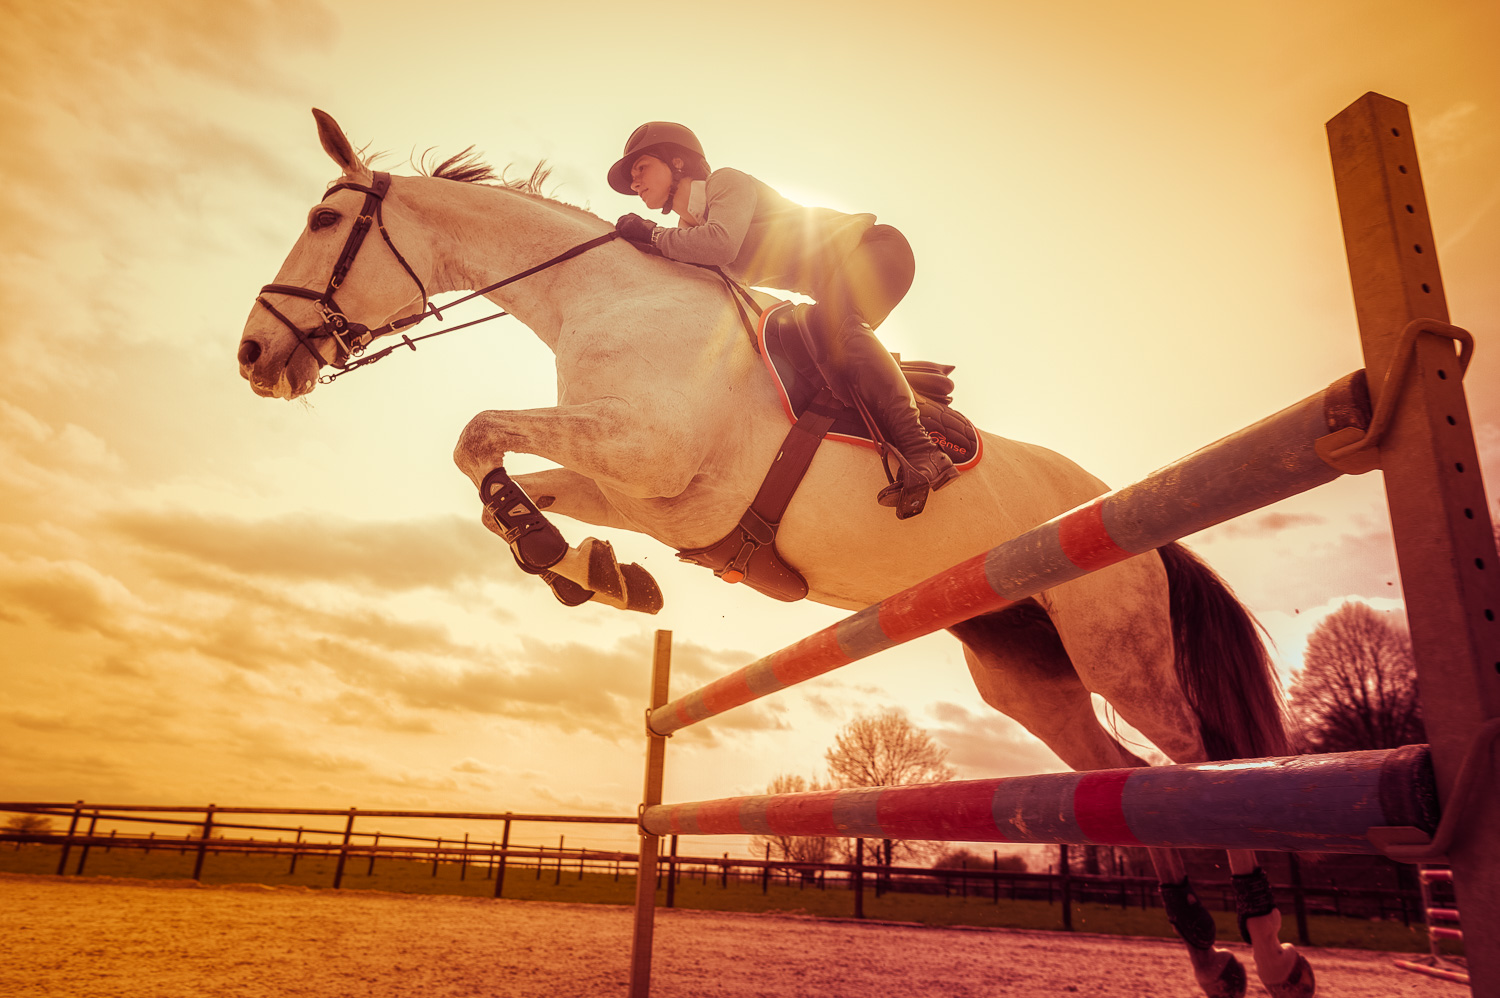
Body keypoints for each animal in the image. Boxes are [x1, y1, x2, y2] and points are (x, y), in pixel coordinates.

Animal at [234, 111, 1314, 996]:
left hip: (1117, 644)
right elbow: (504, 473)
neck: (600, 296)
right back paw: (1212, 959)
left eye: (324, 221)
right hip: (1023, 667)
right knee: (1114, 776)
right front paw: (595, 572)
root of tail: (1114, 502)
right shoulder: (642, 486)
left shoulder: (646, 449)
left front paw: (555, 549)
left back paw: (1274, 956)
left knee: (1195, 762)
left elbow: (475, 433)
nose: (252, 356)